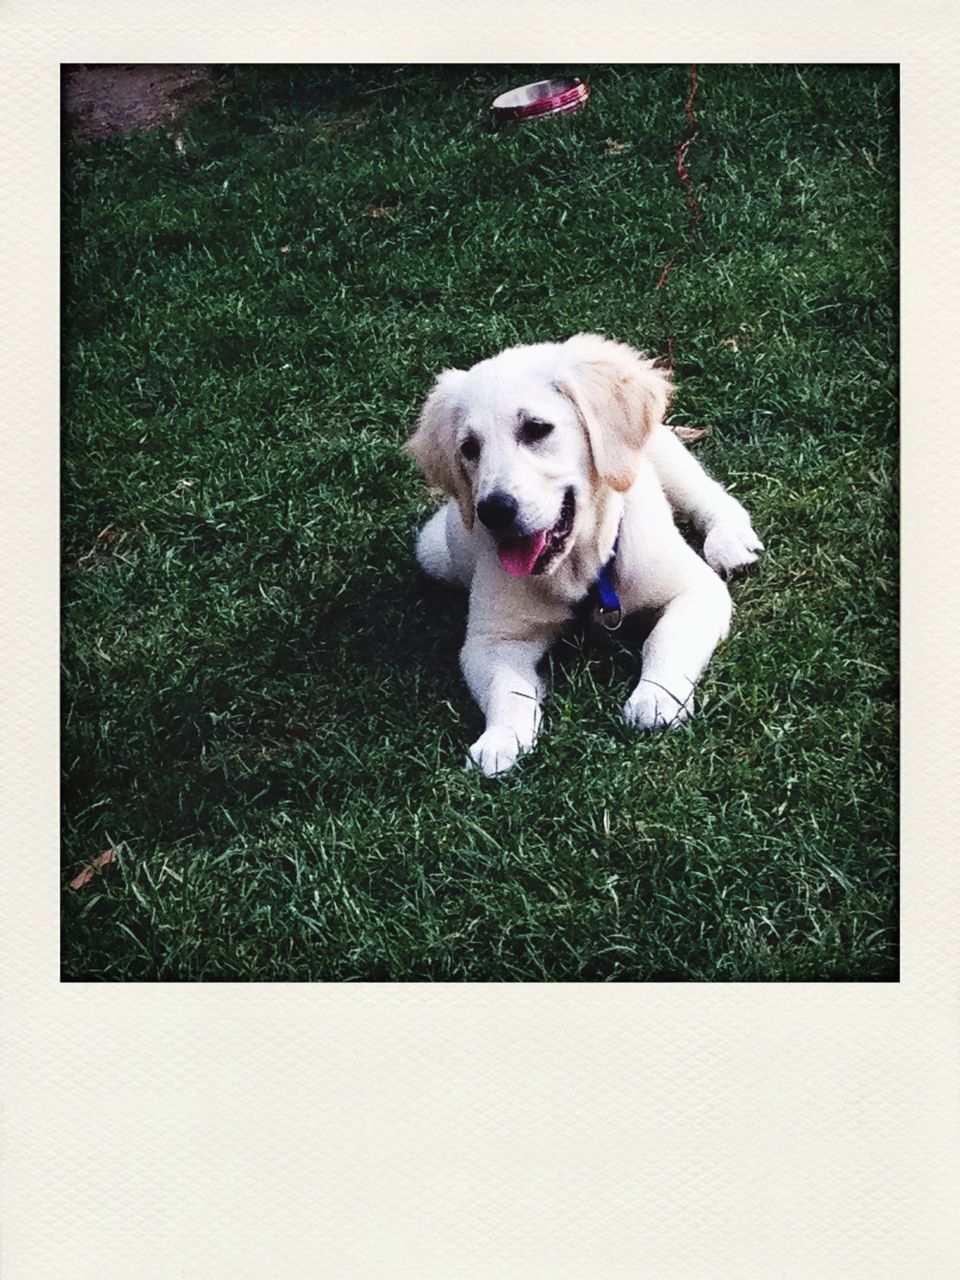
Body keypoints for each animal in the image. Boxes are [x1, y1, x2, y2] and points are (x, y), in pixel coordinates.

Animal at [407, 330, 768, 773]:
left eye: (536, 429)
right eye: (470, 448)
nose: (493, 510)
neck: (578, 568)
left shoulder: (696, 591)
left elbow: (667, 639)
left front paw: (655, 697)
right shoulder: (491, 641)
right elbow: (508, 691)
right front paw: (502, 739)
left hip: (658, 450)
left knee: (707, 492)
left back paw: (730, 540)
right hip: (434, 550)